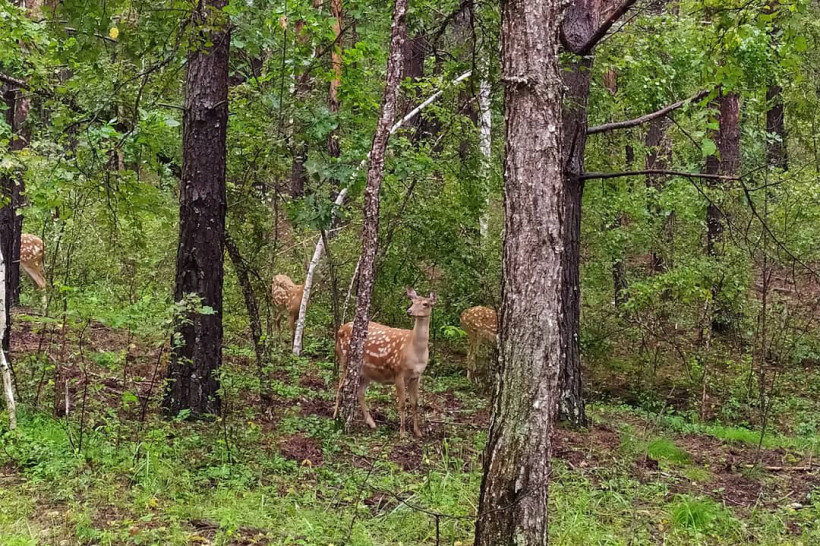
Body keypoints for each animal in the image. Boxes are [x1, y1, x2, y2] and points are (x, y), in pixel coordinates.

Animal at [333, 287, 436, 438]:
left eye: (425, 304)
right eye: (412, 302)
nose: (409, 311)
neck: (414, 351)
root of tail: (340, 329)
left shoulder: (417, 376)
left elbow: (415, 403)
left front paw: (418, 432)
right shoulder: (398, 371)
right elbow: (402, 404)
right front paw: (402, 433)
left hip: (365, 372)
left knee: (360, 392)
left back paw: (371, 423)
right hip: (345, 359)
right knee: (341, 386)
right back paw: (335, 417)